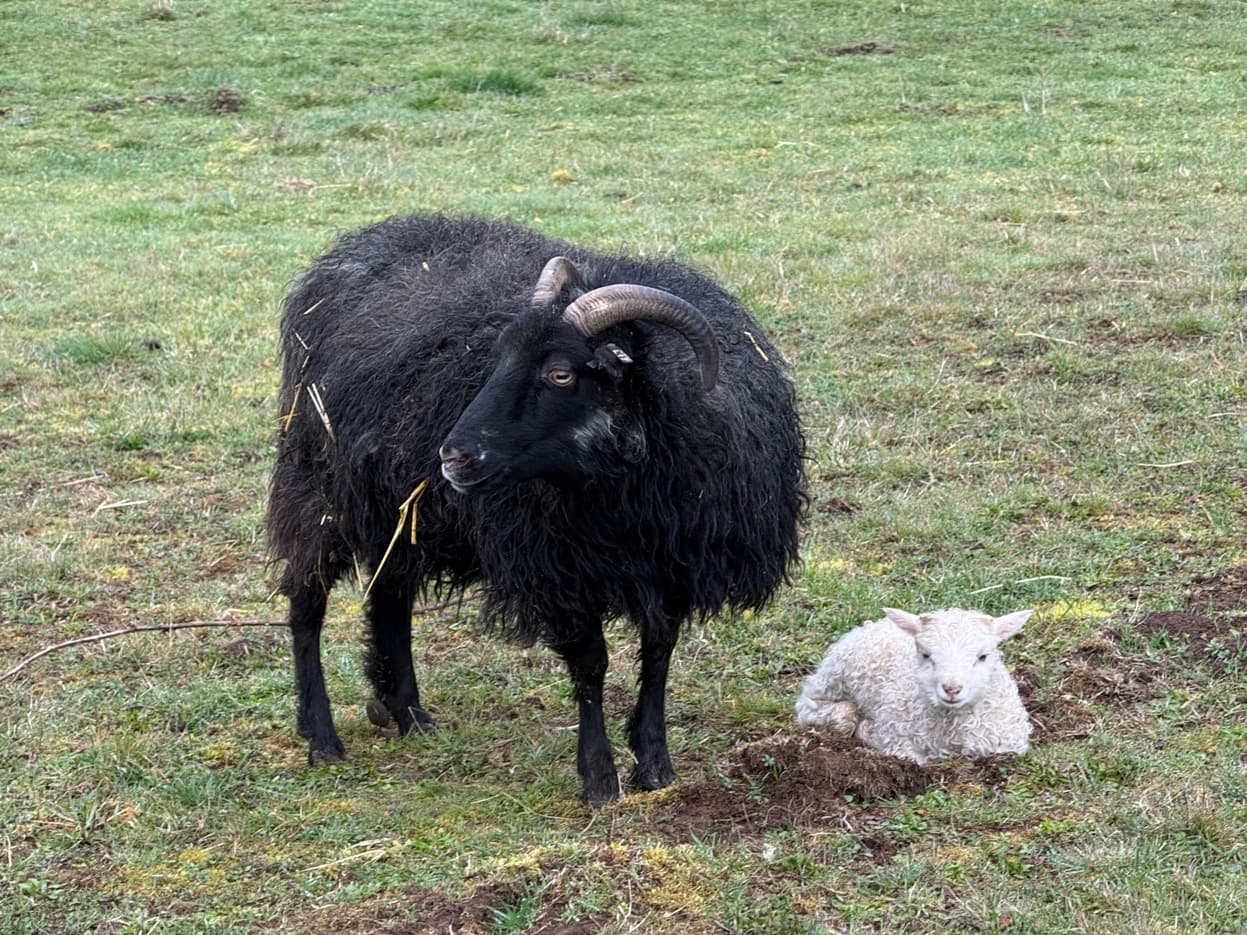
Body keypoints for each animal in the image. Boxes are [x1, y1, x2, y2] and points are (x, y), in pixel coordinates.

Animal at [267, 214, 806, 805]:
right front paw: (599, 777)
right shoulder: (556, 565)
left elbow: (659, 653)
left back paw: (406, 711)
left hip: (402, 508)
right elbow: (591, 664)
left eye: (561, 373)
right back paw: (321, 736)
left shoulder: (675, 565)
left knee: (389, 593)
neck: (625, 491)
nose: (453, 457)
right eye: (497, 358)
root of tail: (354, 247)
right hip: (321, 487)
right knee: (307, 600)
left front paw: (654, 762)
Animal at [794, 607, 1033, 764]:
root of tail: (876, 624)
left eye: (983, 656)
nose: (952, 689)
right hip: (829, 684)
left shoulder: (1008, 742)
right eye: (925, 654)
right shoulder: (898, 740)